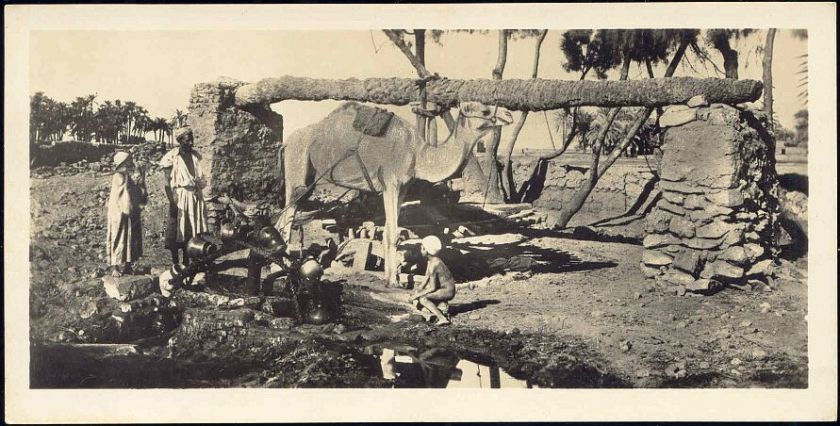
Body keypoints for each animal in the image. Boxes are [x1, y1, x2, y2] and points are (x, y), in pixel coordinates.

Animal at [278, 100, 512, 286]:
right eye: (484, 110)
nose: (508, 115)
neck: (418, 154)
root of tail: (287, 142)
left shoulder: (403, 188)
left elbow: (390, 232)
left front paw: (391, 275)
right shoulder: (390, 184)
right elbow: (392, 233)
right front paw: (393, 280)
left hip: (308, 181)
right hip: (297, 169)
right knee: (286, 218)